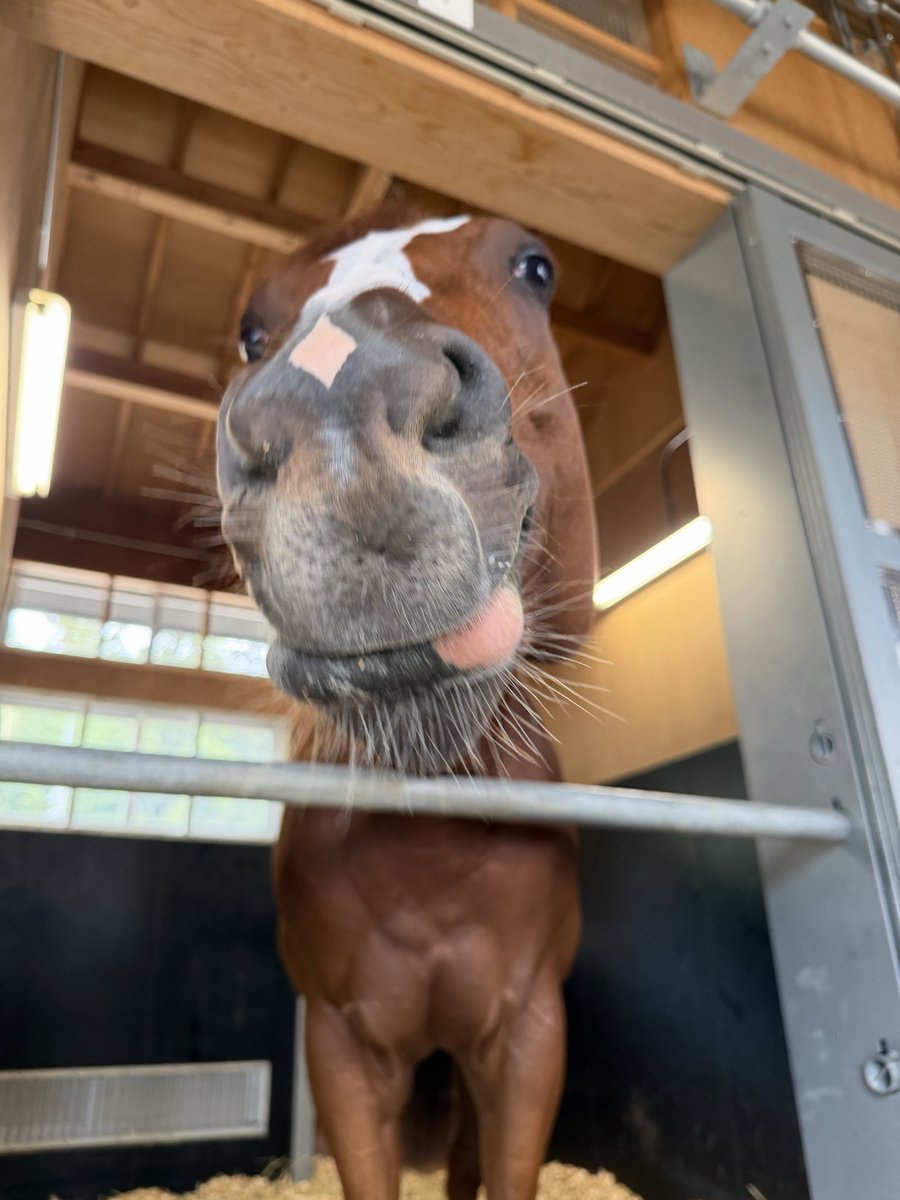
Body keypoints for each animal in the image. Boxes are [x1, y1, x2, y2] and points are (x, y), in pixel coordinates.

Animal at [216, 208, 597, 1200]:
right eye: (251, 330)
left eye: (535, 267)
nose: (338, 400)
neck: (433, 847)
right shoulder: (344, 1048)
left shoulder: (527, 1039)